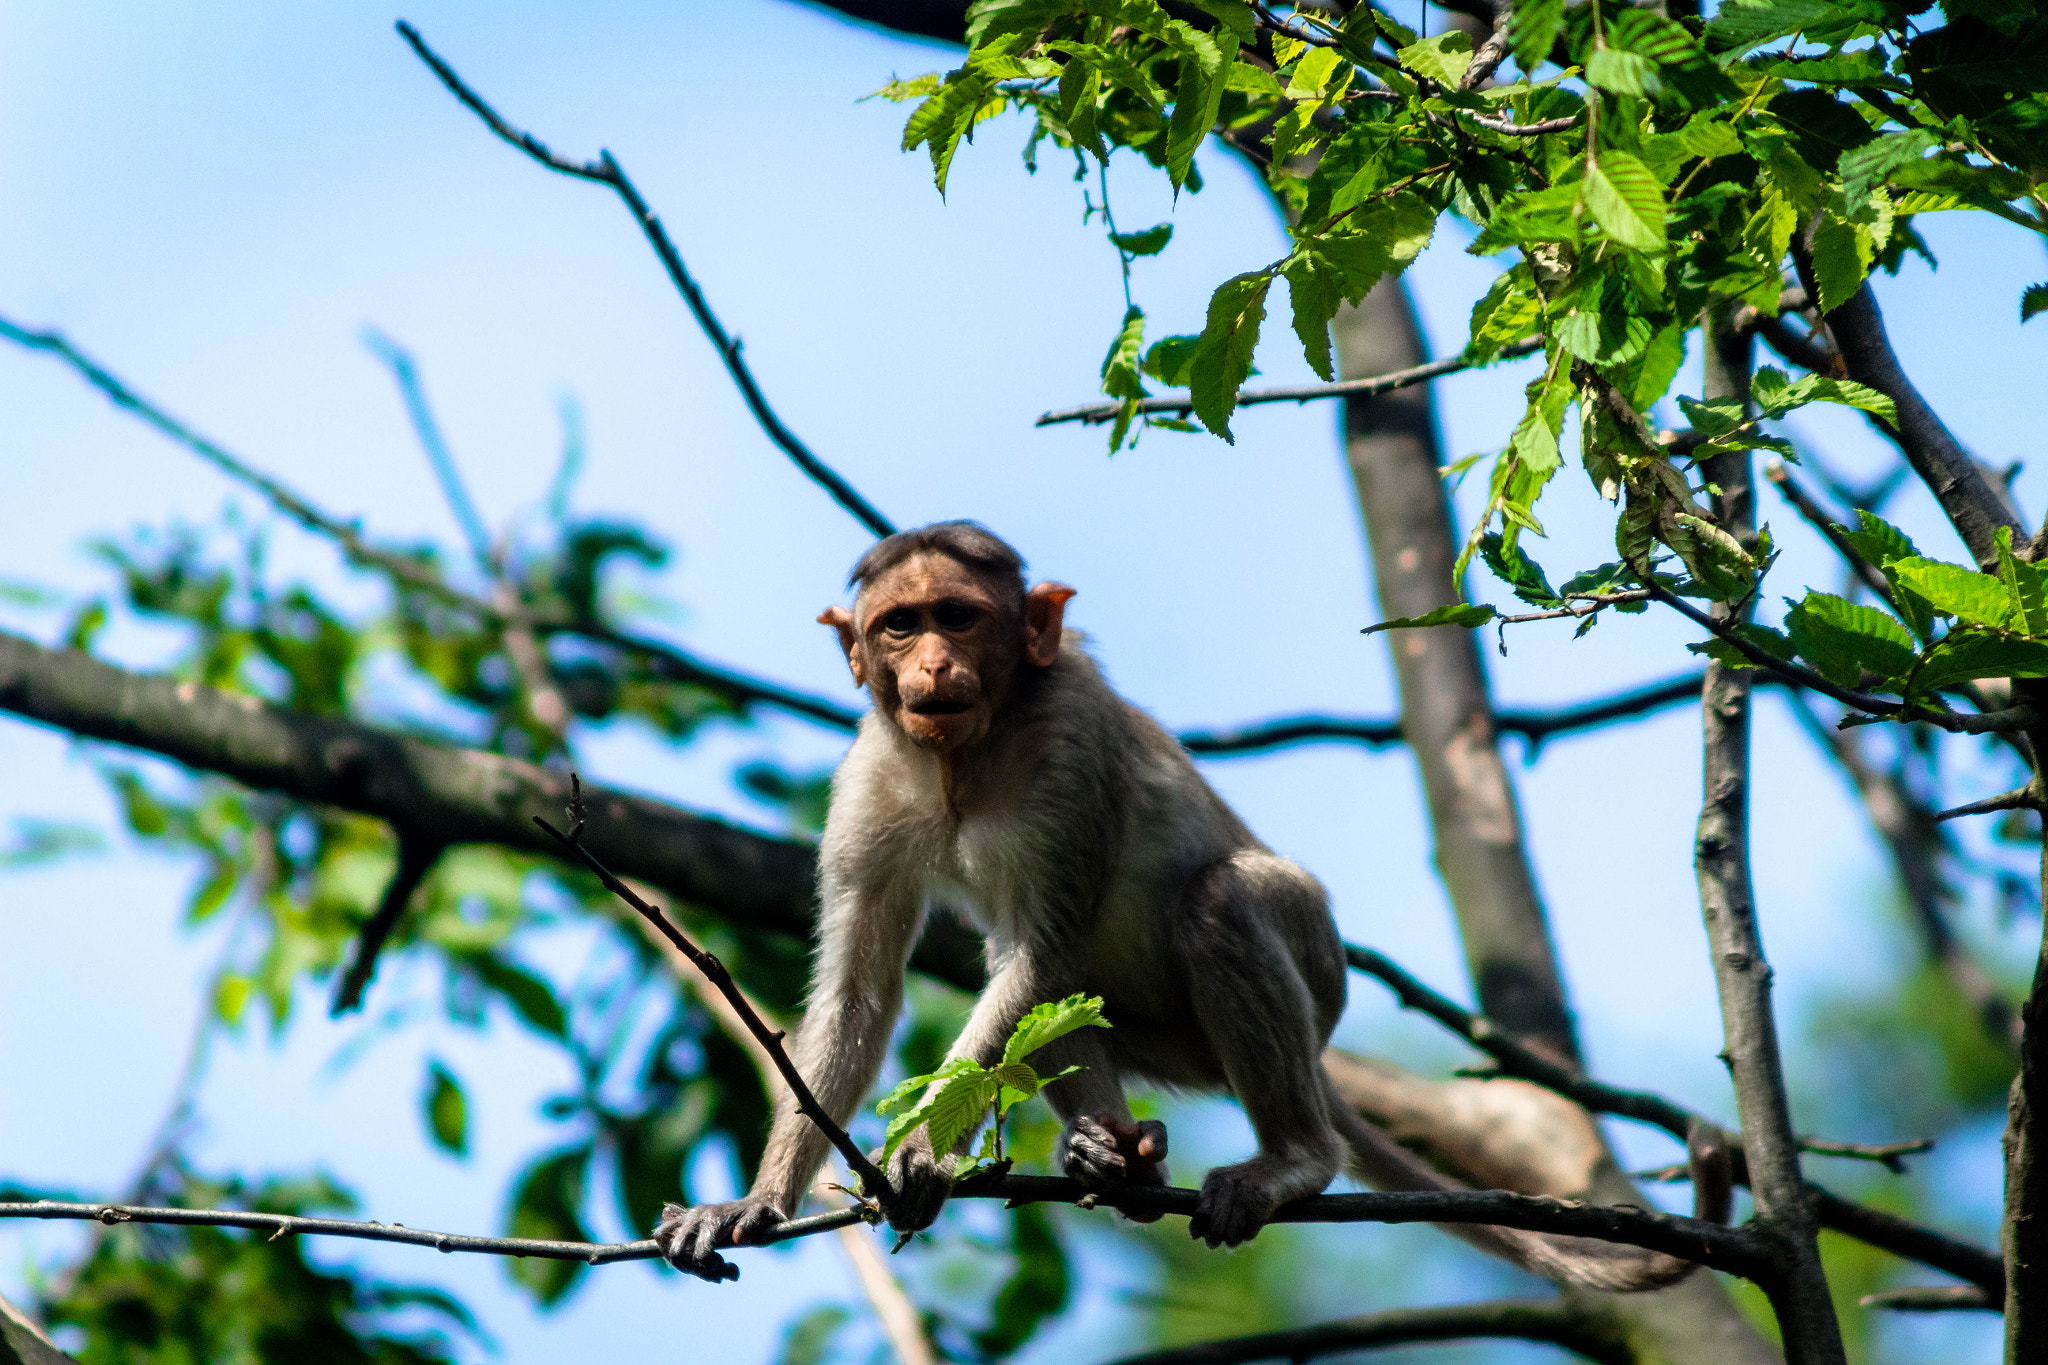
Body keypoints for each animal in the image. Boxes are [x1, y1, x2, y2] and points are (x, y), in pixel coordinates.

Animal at [651, 527, 1712, 1293]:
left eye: (957, 615)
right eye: (899, 626)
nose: (934, 667)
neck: (967, 759)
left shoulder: (1072, 743)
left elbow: (1041, 954)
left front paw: (916, 1146)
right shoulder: (869, 780)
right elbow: (863, 997)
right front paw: (755, 1199)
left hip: (1310, 977)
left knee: (1215, 904)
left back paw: (1291, 1160)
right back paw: (1118, 1159)